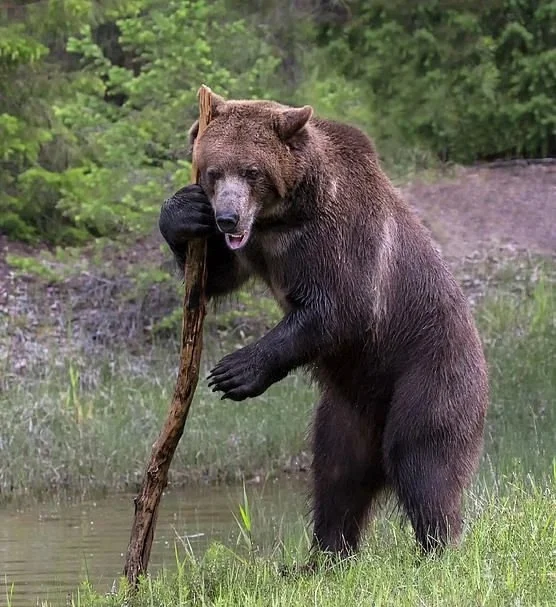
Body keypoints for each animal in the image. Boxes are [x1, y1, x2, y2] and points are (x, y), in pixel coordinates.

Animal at [159, 94, 488, 556]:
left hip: (431, 374)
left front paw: (234, 372)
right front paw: (182, 212)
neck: (282, 217)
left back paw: (437, 547)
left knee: (423, 459)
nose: (227, 218)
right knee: (336, 475)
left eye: (252, 171)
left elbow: (341, 310)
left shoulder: (339, 237)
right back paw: (324, 555)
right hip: (344, 411)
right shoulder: (256, 248)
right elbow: (215, 276)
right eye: (213, 172)